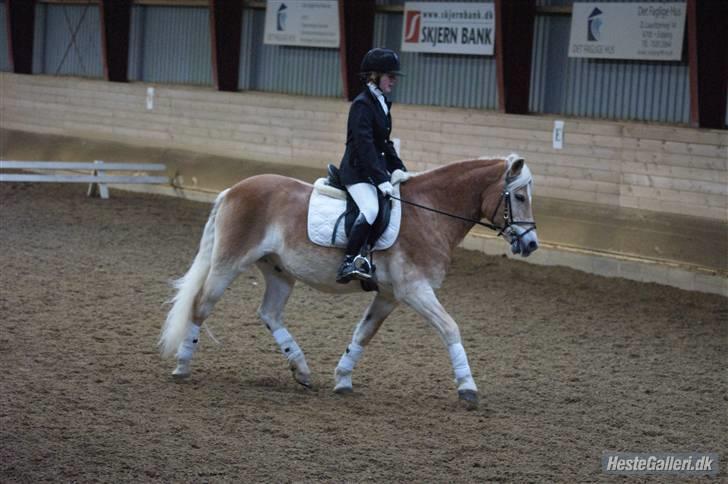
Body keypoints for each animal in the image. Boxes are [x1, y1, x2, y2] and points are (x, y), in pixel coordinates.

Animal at [158, 155, 536, 408]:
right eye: (519, 197)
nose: (531, 244)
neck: (428, 212)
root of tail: (232, 190)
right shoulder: (415, 290)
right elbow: (450, 328)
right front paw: (468, 388)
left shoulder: (389, 295)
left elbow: (363, 334)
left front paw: (342, 379)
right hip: (229, 263)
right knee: (200, 306)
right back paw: (182, 365)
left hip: (279, 272)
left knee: (269, 313)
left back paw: (301, 369)